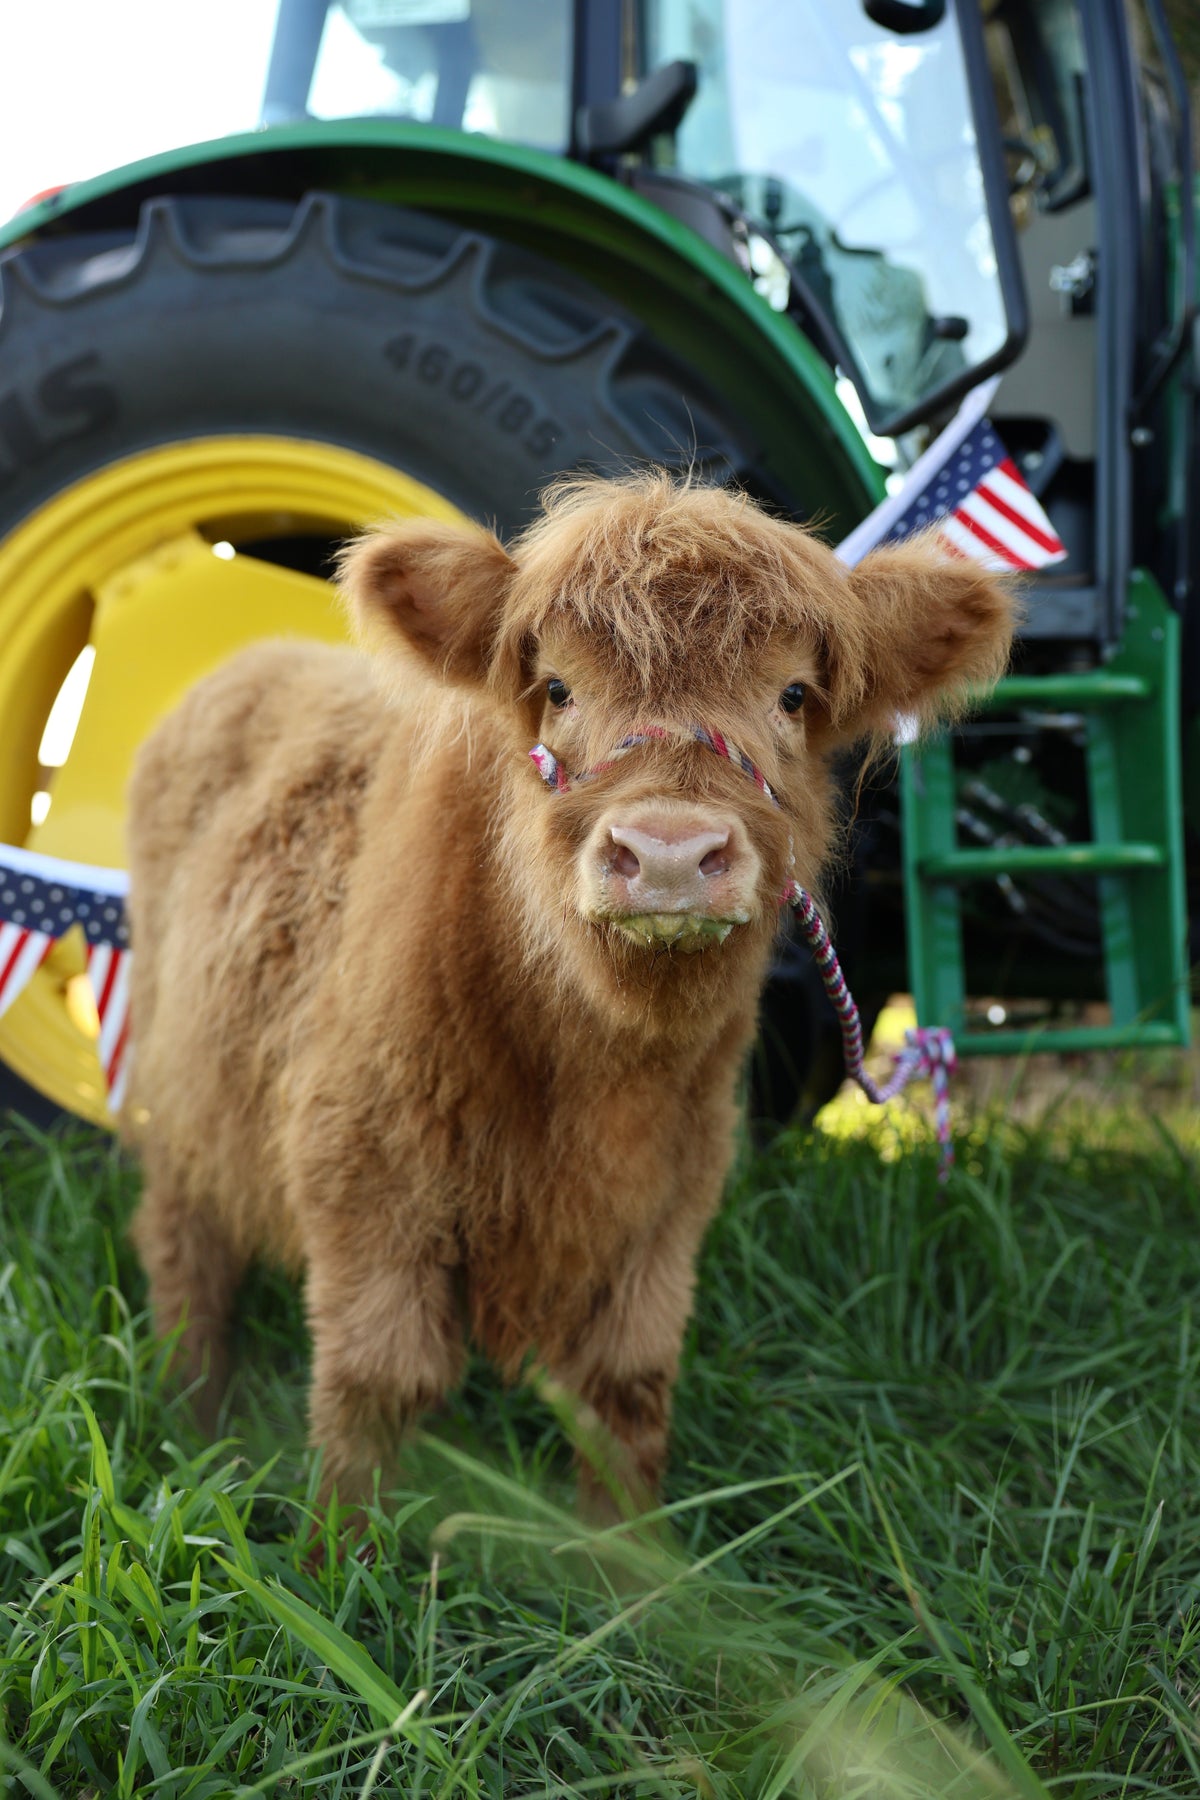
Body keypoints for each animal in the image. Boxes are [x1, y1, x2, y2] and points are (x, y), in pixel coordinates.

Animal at [122, 472, 1014, 1511]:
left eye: (793, 694)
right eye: (557, 687)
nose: (668, 852)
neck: (594, 1070)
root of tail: (254, 658)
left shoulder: (667, 1208)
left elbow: (624, 1394)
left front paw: (632, 1554)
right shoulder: (362, 1174)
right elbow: (376, 1385)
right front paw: (334, 1544)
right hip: (179, 1082)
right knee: (183, 1248)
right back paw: (192, 1415)